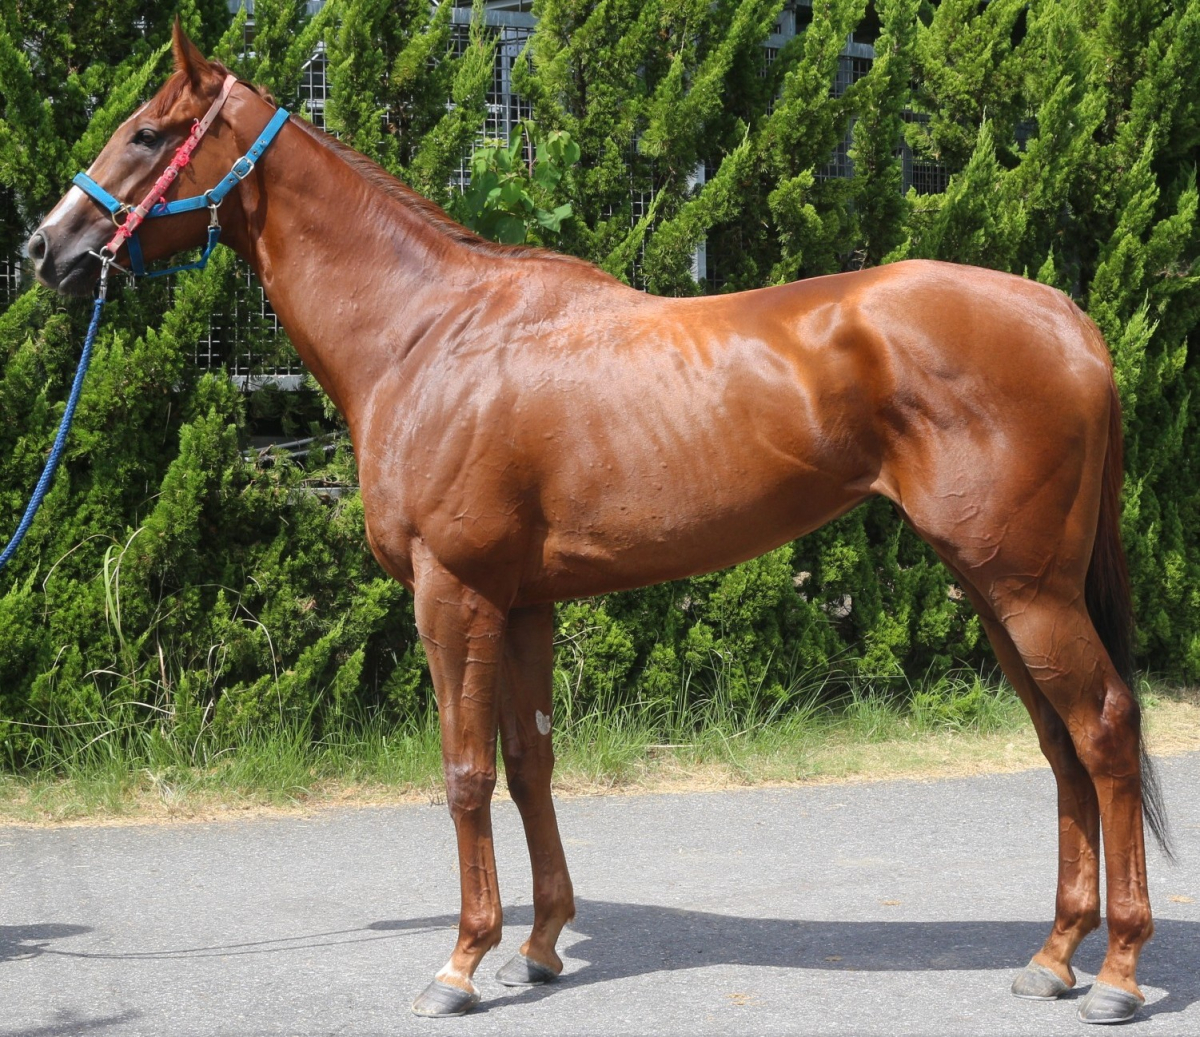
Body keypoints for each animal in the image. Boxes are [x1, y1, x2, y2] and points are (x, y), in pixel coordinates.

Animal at [27, 22, 1168, 1025]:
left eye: (145, 133)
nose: (47, 249)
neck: (427, 335)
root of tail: (1068, 319)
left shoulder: (454, 593)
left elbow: (465, 773)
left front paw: (459, 962)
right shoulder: (525, 604)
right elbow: (531, 764)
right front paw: (537, 946)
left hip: (1025, 587)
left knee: (1106, 728)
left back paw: (1115, 970)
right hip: (997, 588)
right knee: (1060, 743)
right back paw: (1053, 955)